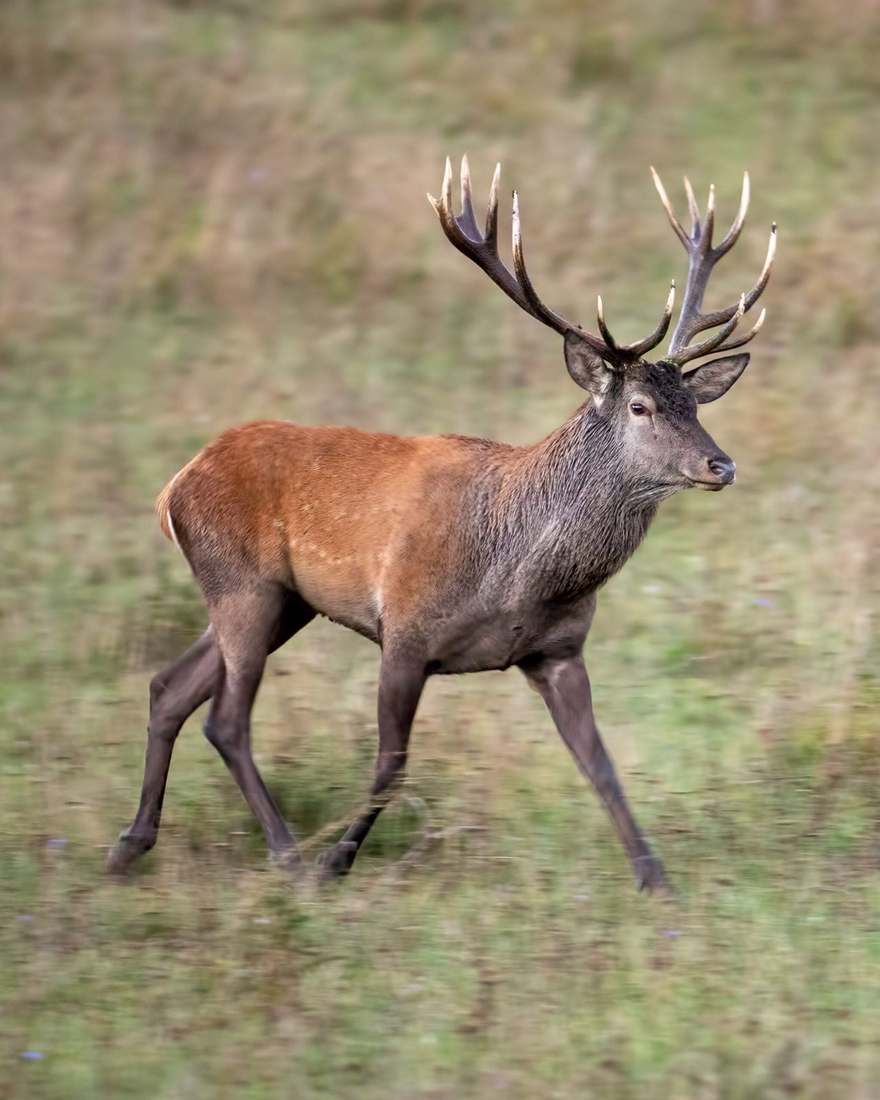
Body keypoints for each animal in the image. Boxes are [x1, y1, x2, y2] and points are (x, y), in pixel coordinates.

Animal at [108, 156, 776, 893]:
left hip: (281, 600)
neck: (518, 575)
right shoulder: (405, 631)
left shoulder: (558, 650)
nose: (721, 464)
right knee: (226, 719)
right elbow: (390, 765)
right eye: (639, 406)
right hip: (242, 583)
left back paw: (130, 845)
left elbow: (600, 765)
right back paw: (289, 856)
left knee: (169, 688)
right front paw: (337, 862)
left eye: (695, 403)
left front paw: (656, 879)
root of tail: (174, 486)